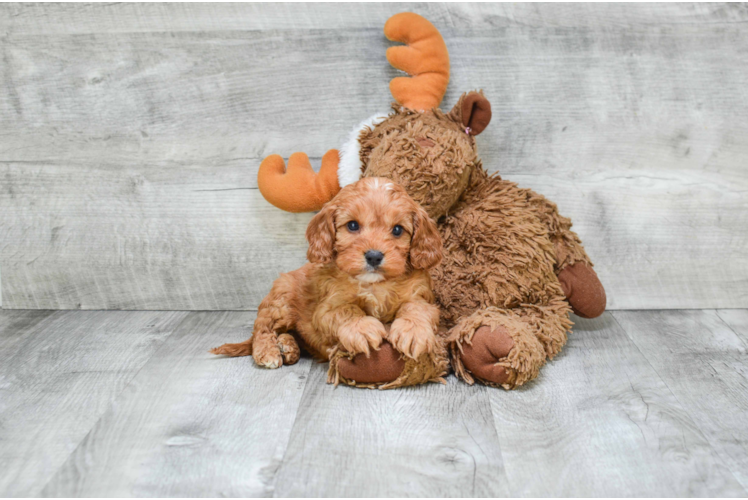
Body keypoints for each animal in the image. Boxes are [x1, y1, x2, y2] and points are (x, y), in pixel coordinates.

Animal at [210, 176, 442, 368]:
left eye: (397, 230)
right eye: (352, 225)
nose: (374, 256)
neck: (375, 284)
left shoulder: (421, 296)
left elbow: (417, 308)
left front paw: (412, 331)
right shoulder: (326, 309)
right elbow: (347, 310)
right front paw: (362, 328)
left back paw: (289, 347)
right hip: (281, 301)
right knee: (263, 329)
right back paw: (269, 352)